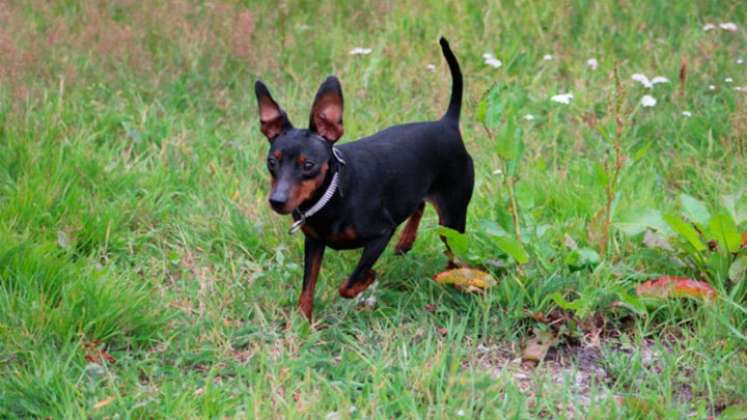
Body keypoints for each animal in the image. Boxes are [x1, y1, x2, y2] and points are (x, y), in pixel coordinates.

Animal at [254, 38, 470, 322]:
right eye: (272, 162)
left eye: (308, 165)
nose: (277, 201)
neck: (332, 196)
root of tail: (447, 123)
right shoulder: (314, 243)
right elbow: (307, 287)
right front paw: (301, 321)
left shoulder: (381, 233)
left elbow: (349, 284)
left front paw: (369, 277)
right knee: (418, 203)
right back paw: (406, 241)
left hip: (452, 218)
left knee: (452, 250)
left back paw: (452, 278)